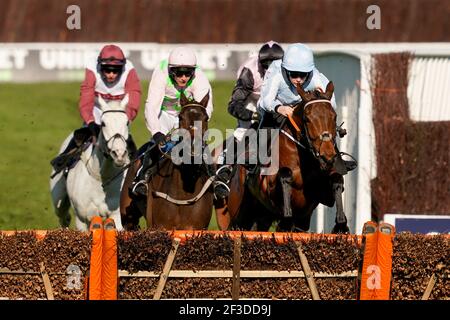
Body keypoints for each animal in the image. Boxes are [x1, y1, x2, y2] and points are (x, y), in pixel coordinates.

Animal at [51, 95, 132, 230]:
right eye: (103, 123)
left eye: (127, 122)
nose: (119, 154)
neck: (101, 179)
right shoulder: (81, 220)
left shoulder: (116, 217)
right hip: (58, 200)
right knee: (63, 216)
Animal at [120, 92, 215, 230]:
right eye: (181, 117)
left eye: (206, 118)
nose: (193, 148)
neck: (185, 193)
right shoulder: (159, 226)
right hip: (128, 219)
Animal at [227, 82, 350, 232]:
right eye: (307, 119)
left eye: (334, 116)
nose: (327, 157)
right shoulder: (270, 187)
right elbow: (285, 174)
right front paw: (286, 217)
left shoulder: (316, 199)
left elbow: (336, 179)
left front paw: (341, 224)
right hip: (240, 210)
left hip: (266, 216)